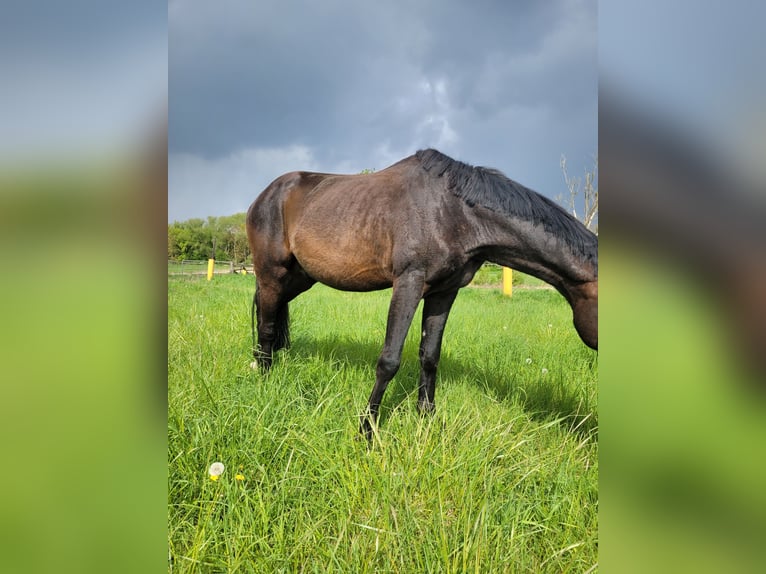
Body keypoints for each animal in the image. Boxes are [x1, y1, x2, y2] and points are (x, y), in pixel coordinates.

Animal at [246, 150, 600, 440]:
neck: (454, 213)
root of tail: (264, 195)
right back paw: (264, 380)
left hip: (299, 278)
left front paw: (428, 419)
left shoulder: (445, 292)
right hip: (271, 274)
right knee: (266, 325)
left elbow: (430, 356)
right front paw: (367, 430)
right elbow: (389, 360)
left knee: (273, 316)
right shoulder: (409, 282)